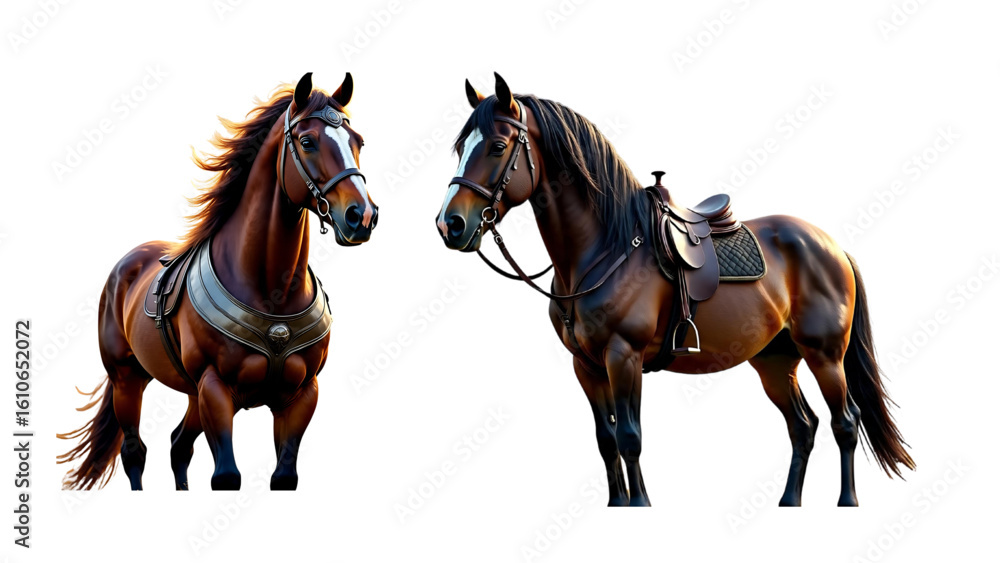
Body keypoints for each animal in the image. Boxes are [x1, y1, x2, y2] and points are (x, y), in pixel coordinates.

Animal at [58, 72, 378, 491]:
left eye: (358, 142)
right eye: (307, 142)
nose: (362, 216)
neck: (270, 291)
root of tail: (126, 267)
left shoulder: (301, 394)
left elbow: (283, 477)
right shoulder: (215, 388)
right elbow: (226, 476)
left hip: (190, 395)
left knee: (178, 446)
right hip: (128, 379)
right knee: (135, 452)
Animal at [435, 73, 914, 506]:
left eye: (498, 147)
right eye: (460, 148)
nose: (450, 224)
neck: (606, 247)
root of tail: (831, 245)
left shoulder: (623, 356)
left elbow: (629, 438)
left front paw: (640, 505)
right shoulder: (585, 366)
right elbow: (606, 441)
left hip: (824, 354)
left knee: (844, 423)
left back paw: (847, 501)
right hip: (775, 360)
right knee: (803, 427)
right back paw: (789, 501)